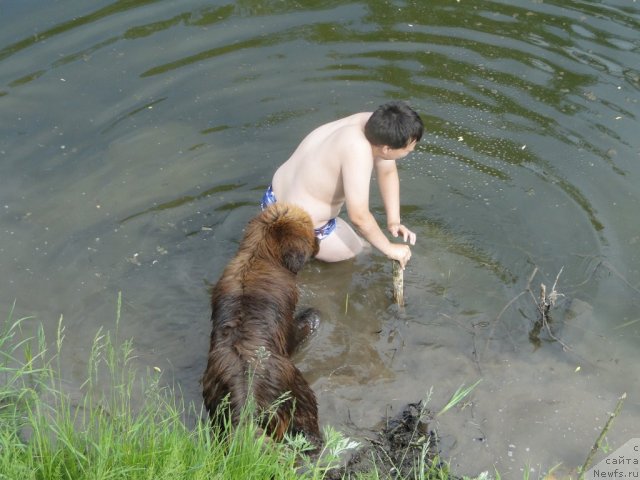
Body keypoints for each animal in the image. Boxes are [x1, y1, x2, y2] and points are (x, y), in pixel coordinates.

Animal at [202, 202, 322, 450]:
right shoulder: (287, 325)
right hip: (297, 390)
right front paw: (312, 317)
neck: (259, 255)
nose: (319, 243)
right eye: (310, 231)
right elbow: (297, 330)